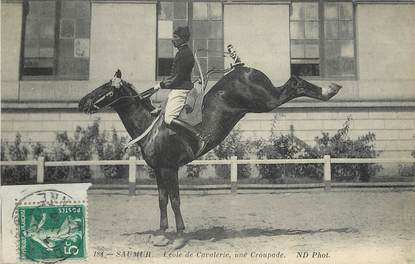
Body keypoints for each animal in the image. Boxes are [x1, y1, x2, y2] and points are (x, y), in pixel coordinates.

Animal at [78, 65, 342, 248]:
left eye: (105, 88)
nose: (82, 102)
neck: (151, 127)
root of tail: (242, 68)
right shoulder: (159, 170)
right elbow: (162, 201)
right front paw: (162, 235)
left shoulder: (170, 169)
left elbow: (175, 201)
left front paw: (179, 237)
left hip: (267, 101)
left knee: (294, 83)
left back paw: (328, 90)